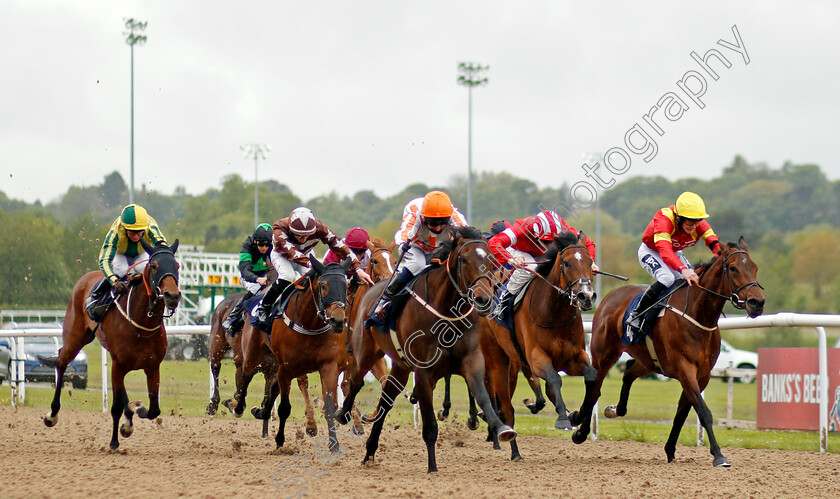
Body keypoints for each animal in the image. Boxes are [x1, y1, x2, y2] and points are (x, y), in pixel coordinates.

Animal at [42, 240, 180, 452]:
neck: (142, 323)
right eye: (155, 266)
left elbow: (153, 410)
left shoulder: (151, 366)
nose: (172, 295)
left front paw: (135, 412)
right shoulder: (118, 364)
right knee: (61, 362)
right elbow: (115, 408)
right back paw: (52, 414)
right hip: (76, 338)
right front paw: (114, 441)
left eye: (177, 266)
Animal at [338, 227, 516, 472]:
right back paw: (343, 415)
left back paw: (370, 452)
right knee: (354, 382)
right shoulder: (423, 372)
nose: (484, 300)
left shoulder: (472, 361)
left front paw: (501, 428)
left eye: (490, 260)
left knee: (386, 399)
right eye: (463, 259)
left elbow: (482, 396)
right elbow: (430, 423)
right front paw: (432, 466)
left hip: (400, 367)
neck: (447, 312)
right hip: (366, 354)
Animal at [480, 232, 596, 462]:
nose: (586, 296)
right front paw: (563, 419)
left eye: (589, 262)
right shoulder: (536, 358)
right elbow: (555, 378)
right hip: (497, 359)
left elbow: (591, 375)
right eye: (567, 263)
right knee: (506, 408)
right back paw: (513, 448)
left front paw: (577, 415)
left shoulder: (574, 357)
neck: (555, 313)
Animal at [580, 238, 764, 468]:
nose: (757, 302)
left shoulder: (701, 374)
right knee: (594, 389)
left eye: (755, 267)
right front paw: (719, 455)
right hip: (604, 354)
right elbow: (703, 411)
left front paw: (670, 450)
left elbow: (683, 412)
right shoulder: (685, 368)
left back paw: (615, 409)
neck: (698, 314)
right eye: (733, 268)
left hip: (649, 360)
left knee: (629, 371)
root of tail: (610, 296)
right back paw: (579, 428)